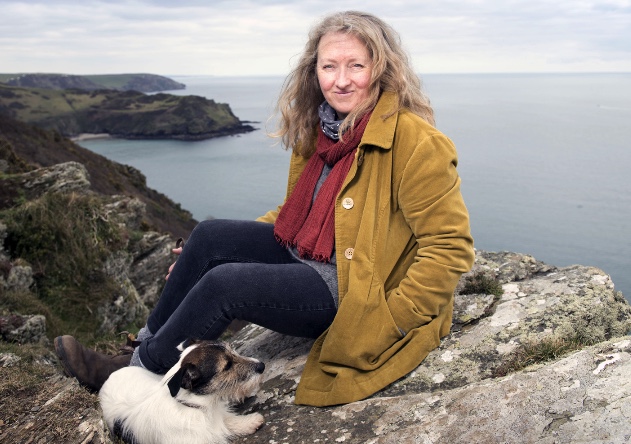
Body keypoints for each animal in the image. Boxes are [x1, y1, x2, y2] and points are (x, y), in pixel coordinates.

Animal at [99, 339, 265, 444]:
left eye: (234, 351)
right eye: (227, 366)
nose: (262, 366)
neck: (195, 407)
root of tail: (109, 378)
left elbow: (228, 419)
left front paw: (250, 422)